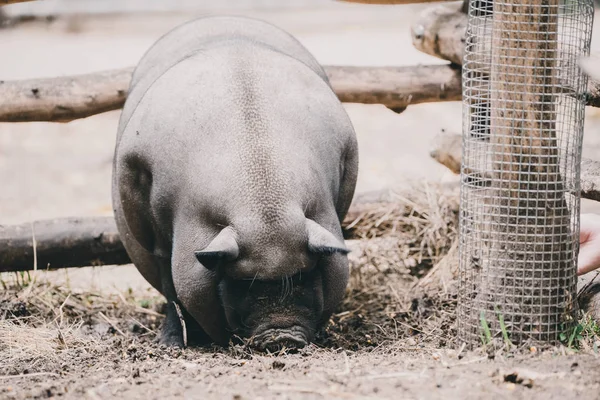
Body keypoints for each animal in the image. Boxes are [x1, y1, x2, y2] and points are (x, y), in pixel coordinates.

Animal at [111, 15, 356, 350]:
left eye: (305, 276)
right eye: (242, 284)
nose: (282, 336)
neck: (263, 202)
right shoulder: (153, 229)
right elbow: (170, 286)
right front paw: (173, 344)